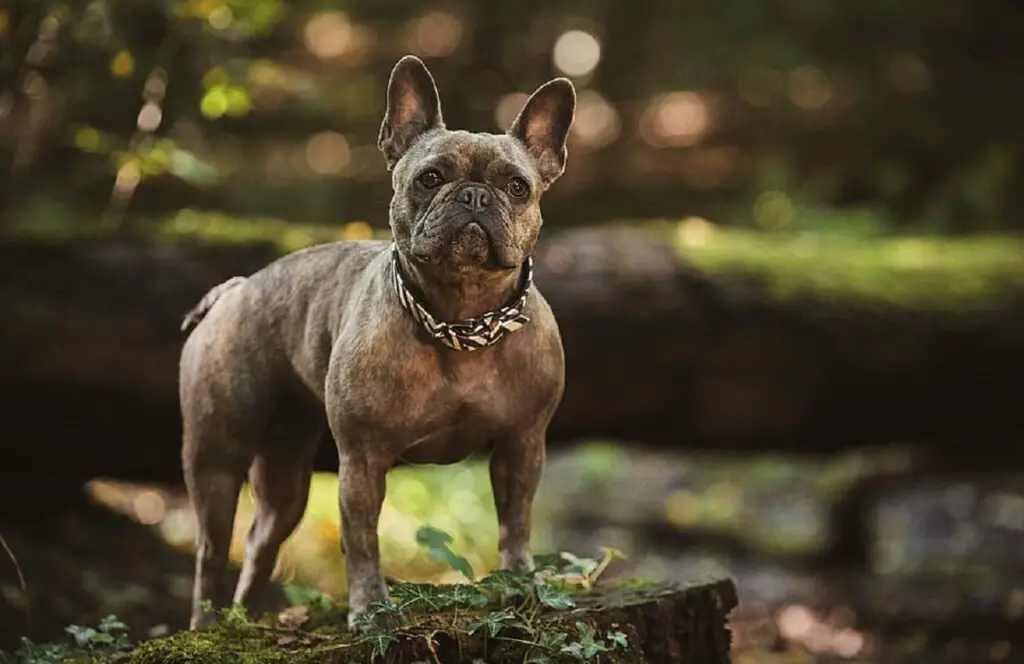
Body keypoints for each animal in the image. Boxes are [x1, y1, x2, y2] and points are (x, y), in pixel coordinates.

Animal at [179, 54, 573, 631]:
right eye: (430, 179)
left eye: (517, 187)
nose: (474, 194)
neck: (461, 319)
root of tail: (236, 289)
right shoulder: (362, 461)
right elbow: (362, 539)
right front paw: (370, 610)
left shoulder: (522, 445)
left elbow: (516, 523)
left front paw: (521, 584)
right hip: (217, 457)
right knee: (211, 550)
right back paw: (208, 627)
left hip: (285, 473)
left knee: (260, 540)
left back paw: (245, 620)